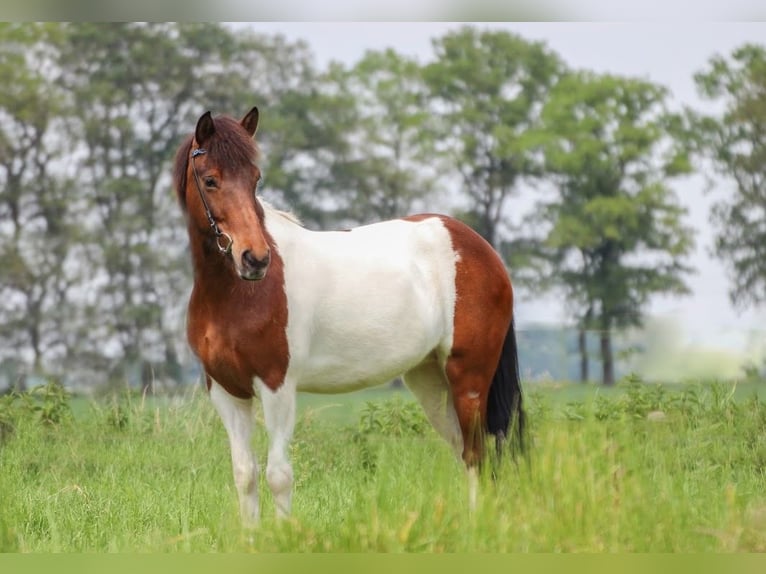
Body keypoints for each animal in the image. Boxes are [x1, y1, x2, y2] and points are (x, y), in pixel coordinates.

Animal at [174, 108, 524, 528]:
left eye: (254, 179)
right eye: (210, 180)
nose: (254, 259)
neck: (235, 294)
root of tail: (482, 249)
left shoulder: (277, 386)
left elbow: (279, 475)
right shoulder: (227, 391)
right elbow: (245, 474)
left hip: (468, 377)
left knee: (477, 455)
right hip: (430, 378)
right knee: (464, 451)